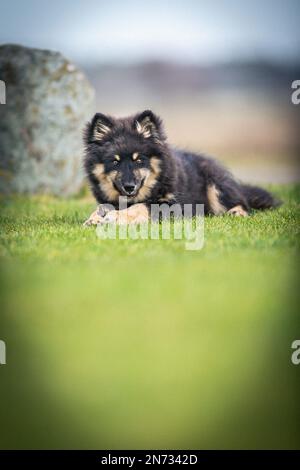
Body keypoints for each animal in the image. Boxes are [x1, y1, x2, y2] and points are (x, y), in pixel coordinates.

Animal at [83, 110, 280, 224]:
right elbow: (105, 207)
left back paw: (236, 212)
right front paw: (95, 218)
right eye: (114, 161)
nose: (129, 186)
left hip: (216, 186)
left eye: (139, 160)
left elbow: (140, 207)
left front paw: (115, 217)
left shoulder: (172, 205)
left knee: (241, 202)